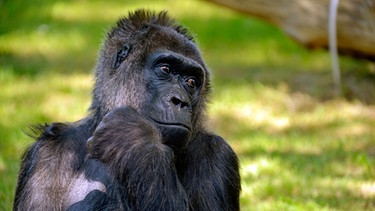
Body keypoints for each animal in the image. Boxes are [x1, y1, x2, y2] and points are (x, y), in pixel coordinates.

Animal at [13, 9, 241, 210]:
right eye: (165, 69)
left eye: (191, 82)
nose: (180, 101)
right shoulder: (48, 150)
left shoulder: (217, 152)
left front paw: (134, 138)